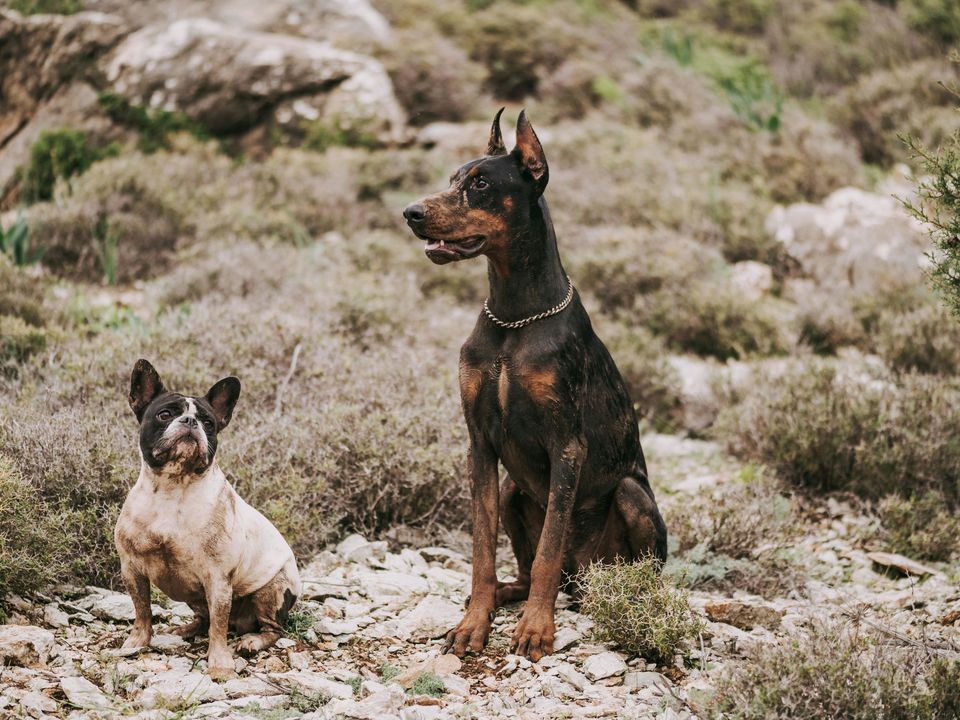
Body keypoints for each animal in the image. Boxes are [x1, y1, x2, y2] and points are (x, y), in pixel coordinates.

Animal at [116, 362, 298, 676]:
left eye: (209, 423)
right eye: (165, 414)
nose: (191, 422)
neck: (173, 488)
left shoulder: (218, 579)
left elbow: (219, 625)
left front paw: (220, 662)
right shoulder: (132, 569)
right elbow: (142, 610)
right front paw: (138, 641)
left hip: (271, 591)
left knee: (271, 628)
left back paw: (252, 641)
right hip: (194, 597)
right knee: (203, 619)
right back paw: (185, 629)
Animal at [404, 109, 668, 660]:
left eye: (482, 183)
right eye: (453, 177)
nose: (411, 212)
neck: (515, 317)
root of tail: (582, 580)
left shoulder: (566, 445)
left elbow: (549, 546)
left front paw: (536, 629)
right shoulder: (480, 446)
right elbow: (482, 549)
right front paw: (474, 622)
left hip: (632, 495)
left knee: (610, 569)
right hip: (510, 491)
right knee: (524, 572)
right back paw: (504, 594)